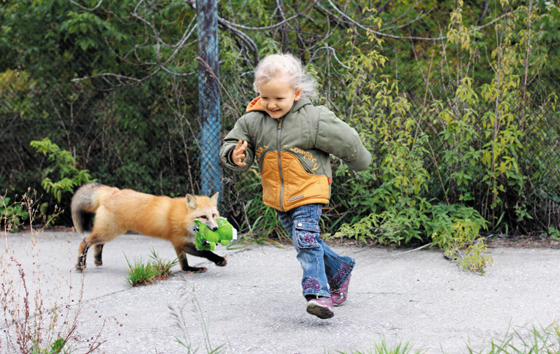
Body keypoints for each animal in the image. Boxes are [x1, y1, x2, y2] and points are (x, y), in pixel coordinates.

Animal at [71, 184, 226, 272]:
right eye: (203, 217)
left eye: (214, 215)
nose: (215, 228)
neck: (184, 219)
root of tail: (113, 191)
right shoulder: (180, 241)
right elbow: (206, 252)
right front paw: (219, 260)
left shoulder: (178, 243)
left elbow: (184, 264)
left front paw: (192, 269)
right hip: (108, 232)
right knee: (85, 242)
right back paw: (80, 265)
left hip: (109, 232)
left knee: (98, 244)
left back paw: (97, 259)